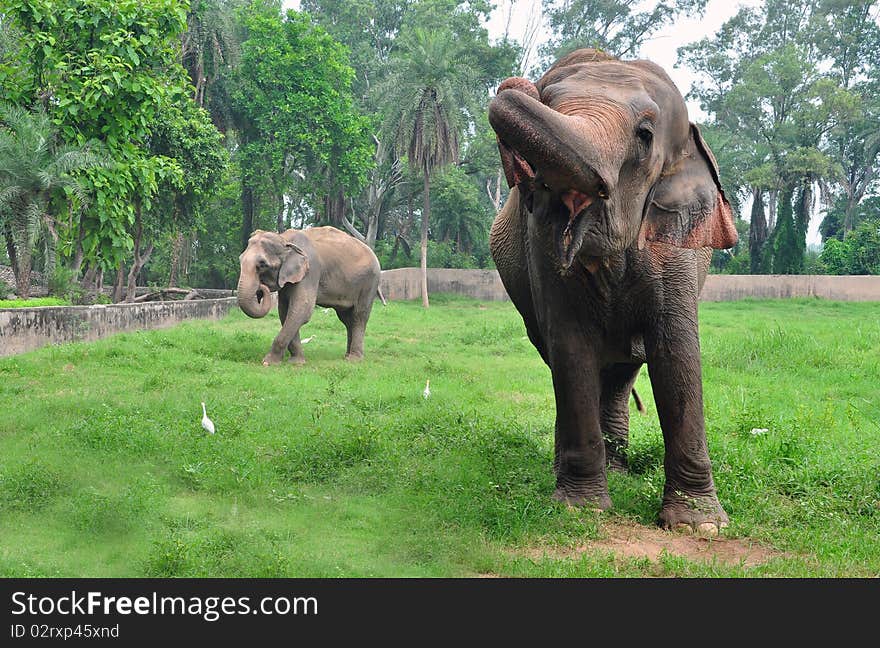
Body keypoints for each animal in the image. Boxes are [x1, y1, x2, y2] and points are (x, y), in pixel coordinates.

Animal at [235, 227, 384, 364]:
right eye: (240, 259)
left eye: (262, 264)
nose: (261, 288)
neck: (284, 238)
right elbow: (285, 312)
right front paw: (296, 362)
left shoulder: (310, 271)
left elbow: (302, 309)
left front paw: (268, 362)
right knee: (347, 319)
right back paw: (347, 356)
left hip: (369, 282)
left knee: (359, 316)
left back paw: (354, 359)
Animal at [484, 49, 740, 536]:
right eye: (549, 99)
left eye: (644, 135)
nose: (519, 84)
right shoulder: (540, 246)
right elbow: (571, 346)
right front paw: (580, 510)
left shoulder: (673, 249)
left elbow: (677, 350)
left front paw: (699, 526)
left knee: (623, 371)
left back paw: (618, 468)